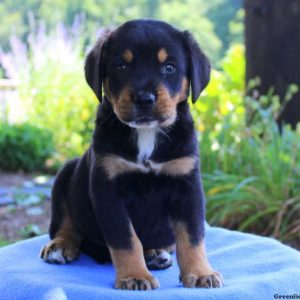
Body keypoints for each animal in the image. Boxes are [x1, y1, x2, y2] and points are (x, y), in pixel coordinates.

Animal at [39, 19, 223, 290]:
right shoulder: (109, 189)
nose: (144, 99)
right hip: (66, 173)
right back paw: (60, 246)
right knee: (65, 222)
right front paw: (134, 275)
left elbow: (193, 236)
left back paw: (156, 254)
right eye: (121, 66)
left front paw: (201, 273)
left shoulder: (187, 184)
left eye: (169, 67)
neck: (146, 135)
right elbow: (126, 239)